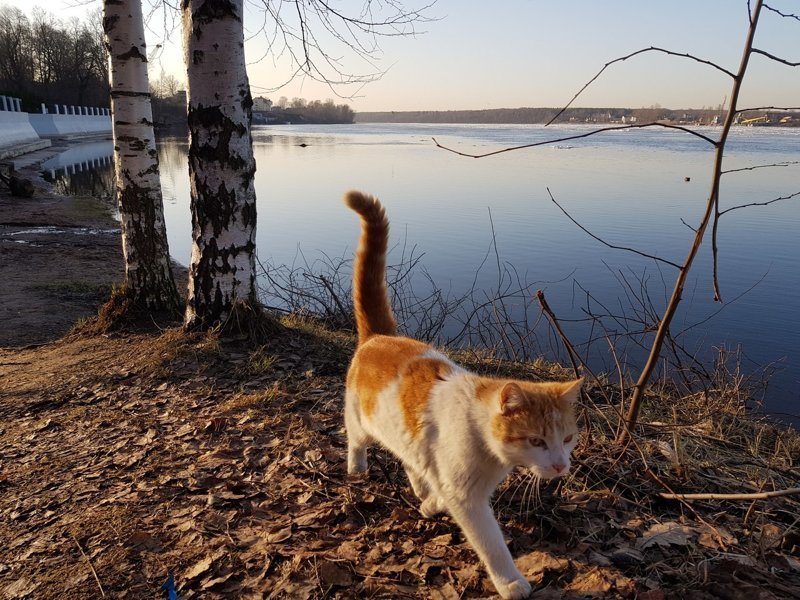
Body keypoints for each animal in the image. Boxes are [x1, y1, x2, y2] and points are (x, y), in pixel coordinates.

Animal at [344, 193, 580, 600]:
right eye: (536, 440)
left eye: (566, 438)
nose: (560, 466)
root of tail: (379, 337)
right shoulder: (468, 498)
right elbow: (490, 542)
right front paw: (510, 581)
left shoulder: (457, 482)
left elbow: (440, 492)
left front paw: (430, 504)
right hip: (360, 420)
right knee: (355, 439)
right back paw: (357, 466)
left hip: (406, 434)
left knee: (411, 460)